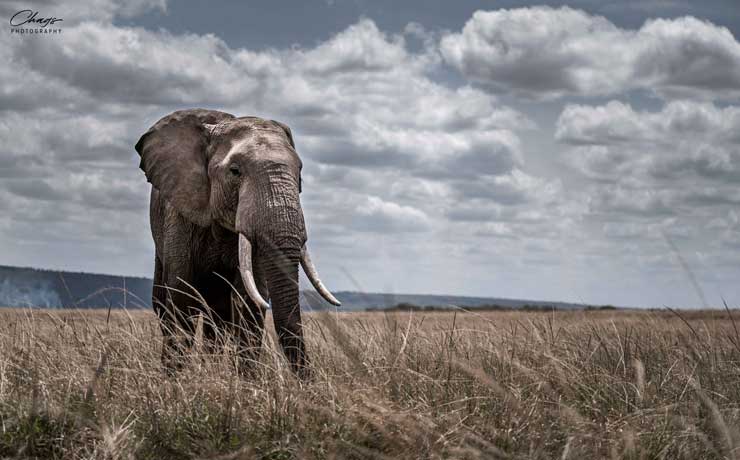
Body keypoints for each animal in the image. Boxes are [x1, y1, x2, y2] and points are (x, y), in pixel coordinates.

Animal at [134, 108, 340, 378]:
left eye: (300, 173)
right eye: (235, 171)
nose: (309, 382)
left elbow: (248, 303)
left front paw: (247, 383)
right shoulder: (179, 215)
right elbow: (181, 295)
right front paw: (175, 380)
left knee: (217, 319)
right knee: (163, 304)